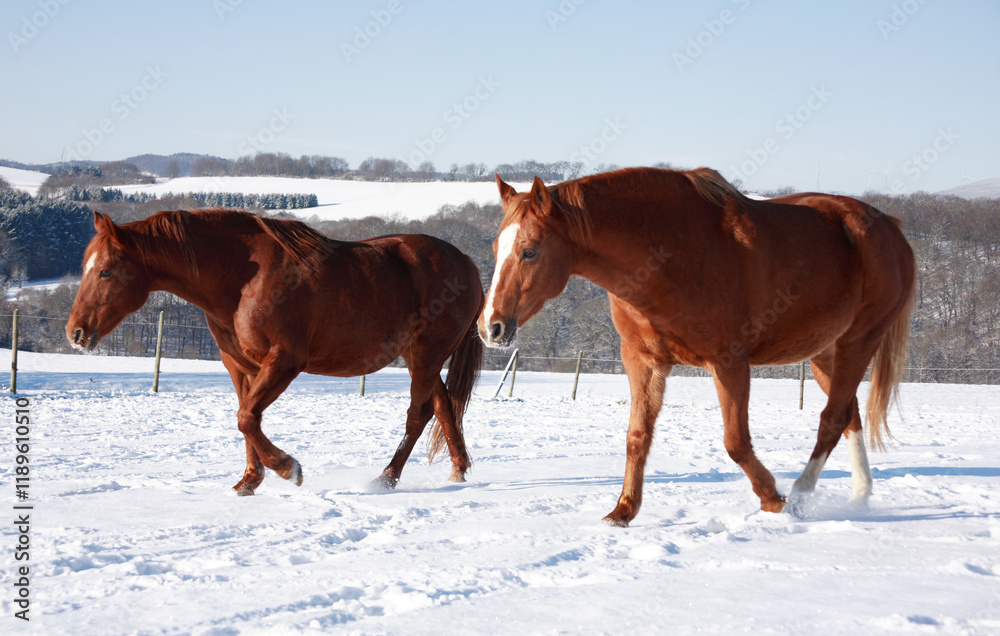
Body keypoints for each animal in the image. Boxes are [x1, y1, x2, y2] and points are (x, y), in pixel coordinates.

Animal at [66, 211, 484, 494]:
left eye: (105, 271)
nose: (76, 332)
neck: (244, 278)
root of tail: (467, 263)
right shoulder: (240, 366)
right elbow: (246, 418)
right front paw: (250, 480)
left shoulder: (284, 361)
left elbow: (247, 418)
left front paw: (287, 468)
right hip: (418, 356)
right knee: (443, 406)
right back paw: (458, 471)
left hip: (427, 353)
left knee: (419, 414)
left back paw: (387, 478)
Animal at [482, 166, 916, 524]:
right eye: (495, 249)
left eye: (530, 250)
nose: (491, 327)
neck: (668, 254)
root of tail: (891, 229)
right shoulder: (644, 361)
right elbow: (637, 436)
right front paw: (623, 511)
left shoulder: (729, 363)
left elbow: (736, 442)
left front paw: (772, 499)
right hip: (825, 353)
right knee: (849, 416)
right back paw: (860, 496)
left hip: (858, 343)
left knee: (831, 420)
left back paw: (800, 494)